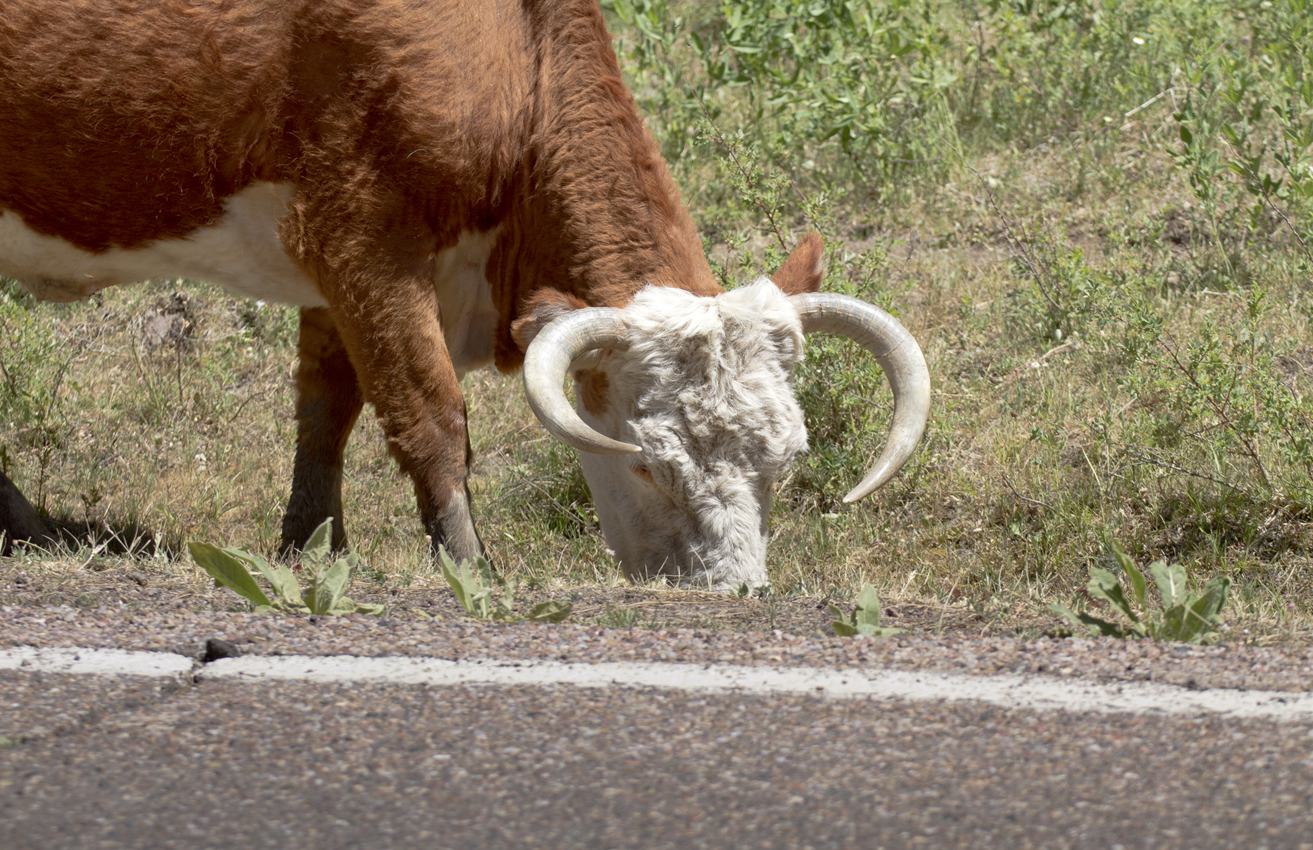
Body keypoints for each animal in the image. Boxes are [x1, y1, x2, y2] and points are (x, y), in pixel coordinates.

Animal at [0, 0, 929, 591]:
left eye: (784, 459)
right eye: (650, 463)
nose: (733, 588)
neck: (513, 63)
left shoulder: (337, 277)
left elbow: (325, 413)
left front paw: (304, 548)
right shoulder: (361, 239)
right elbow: (430, 414)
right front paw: (471, 564)